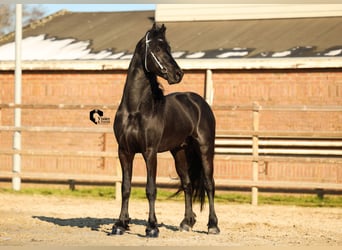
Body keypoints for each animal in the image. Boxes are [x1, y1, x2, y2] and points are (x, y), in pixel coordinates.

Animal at [112, 23, 219, 236]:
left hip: (205, 148)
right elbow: (126, 188)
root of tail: (198, 102)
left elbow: (150, 189)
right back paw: (186, 222)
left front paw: (152, 227)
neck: (135, 110)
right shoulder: (125, 151)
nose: (178, 74)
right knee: (187, 184)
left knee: (209, 184)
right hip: (179, 152)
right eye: (157, 49)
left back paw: (212, 225)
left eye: (168, 48)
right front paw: (120, 224)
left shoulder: (149, 152)